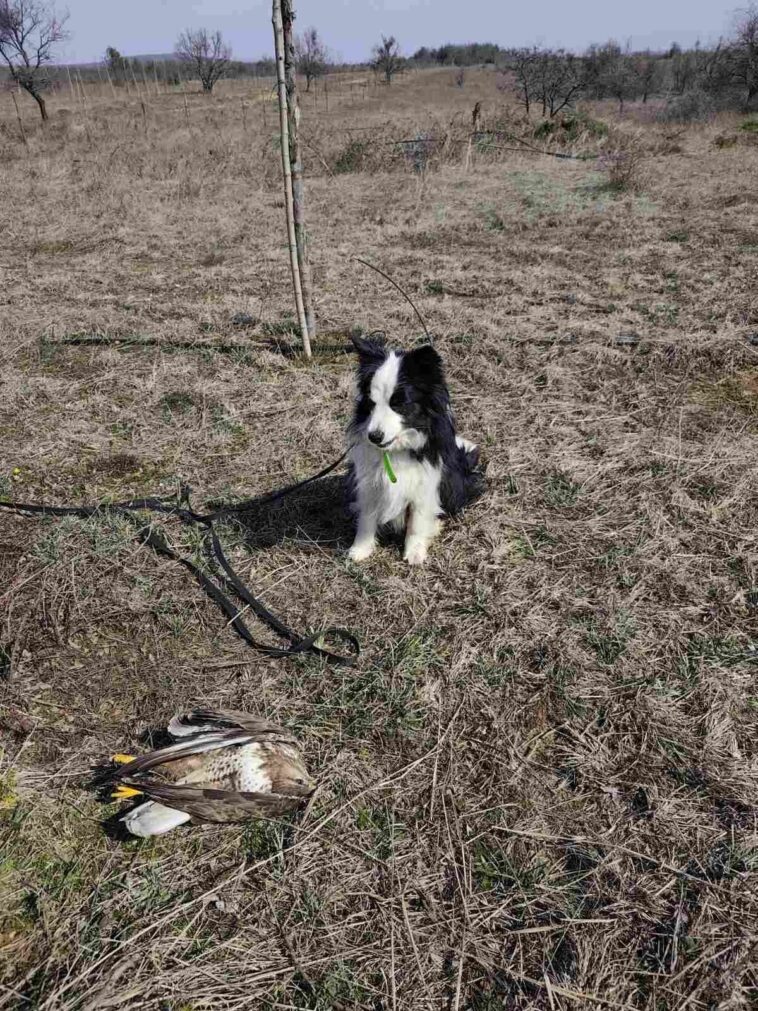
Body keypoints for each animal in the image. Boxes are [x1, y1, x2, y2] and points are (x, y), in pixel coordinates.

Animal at [347, 335, 484, 565]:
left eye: (398, 404)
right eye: (371, 403)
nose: (374, 436)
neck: (396, 449)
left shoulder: (425, 482)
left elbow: (417, 520)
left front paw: (414, 552)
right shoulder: (371, 482)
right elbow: (367, 517)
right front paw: (361, 548)